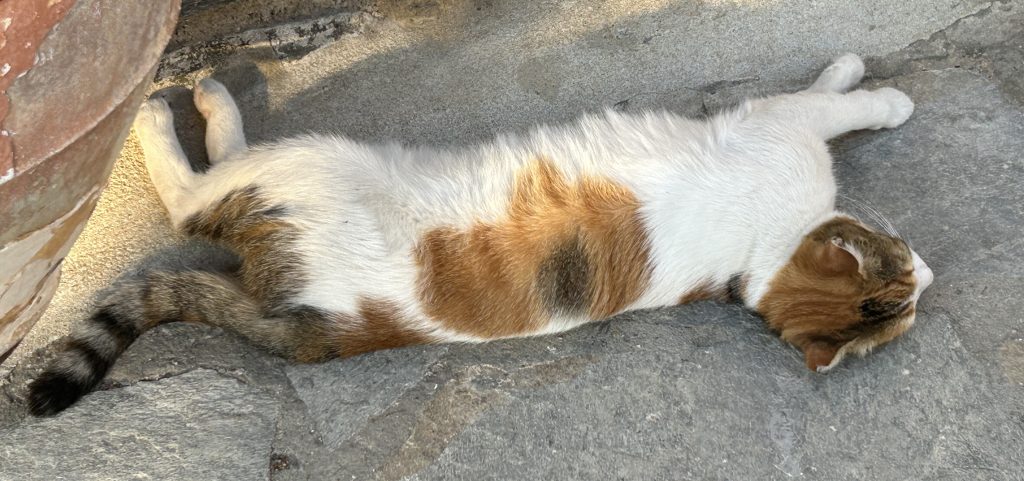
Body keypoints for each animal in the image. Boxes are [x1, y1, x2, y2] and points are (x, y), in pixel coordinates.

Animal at [25, 51, 937, 413]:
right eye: (902, 262)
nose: (929, 274)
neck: (759, 257)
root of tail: (320, 326)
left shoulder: (778, 129)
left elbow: (833, 103)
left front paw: (879, 95)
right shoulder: (775, 125)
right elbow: (831, 97)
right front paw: (874, 87)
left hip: (306, 168)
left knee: (198, 202)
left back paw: (185, 108)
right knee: (202, 198)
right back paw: (180, 104)